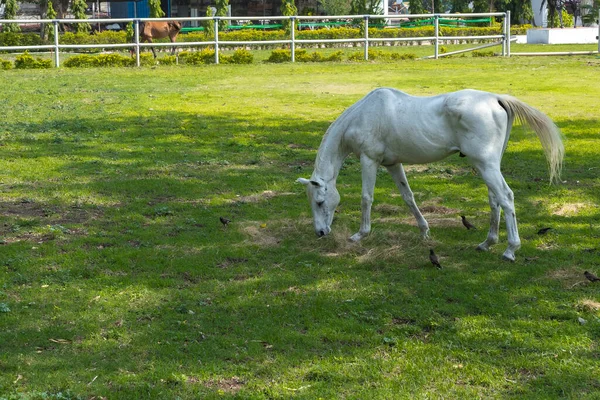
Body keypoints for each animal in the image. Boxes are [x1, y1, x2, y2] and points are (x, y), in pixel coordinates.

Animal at [298, 88, 564, 260]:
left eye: (320, 202)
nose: (320, 233)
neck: (364, 114)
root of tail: (496, 100)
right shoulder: (393, 164)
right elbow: (408, 197)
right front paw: (425, 231)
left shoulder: (369, 160)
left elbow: (366, 198)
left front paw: (360, 235)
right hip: (488, 165)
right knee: (495, 200)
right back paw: (487, 243)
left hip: (486, 165)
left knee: (506, 198)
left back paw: (510, 250)